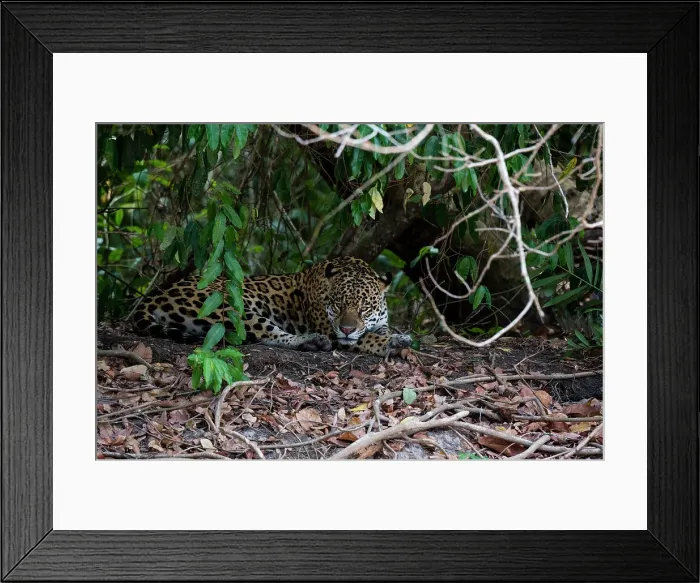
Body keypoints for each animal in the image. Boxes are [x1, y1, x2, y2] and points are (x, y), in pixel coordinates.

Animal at [132, 257, 412, 356]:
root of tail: (156, 296)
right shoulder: (331, 329)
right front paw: (393, 342)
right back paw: (311, 341)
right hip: (229, 307)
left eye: (364, 308)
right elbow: (366, 339)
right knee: (266, 334)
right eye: (338, 305)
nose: (346, 329)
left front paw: (395, 338)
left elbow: (379, 332)